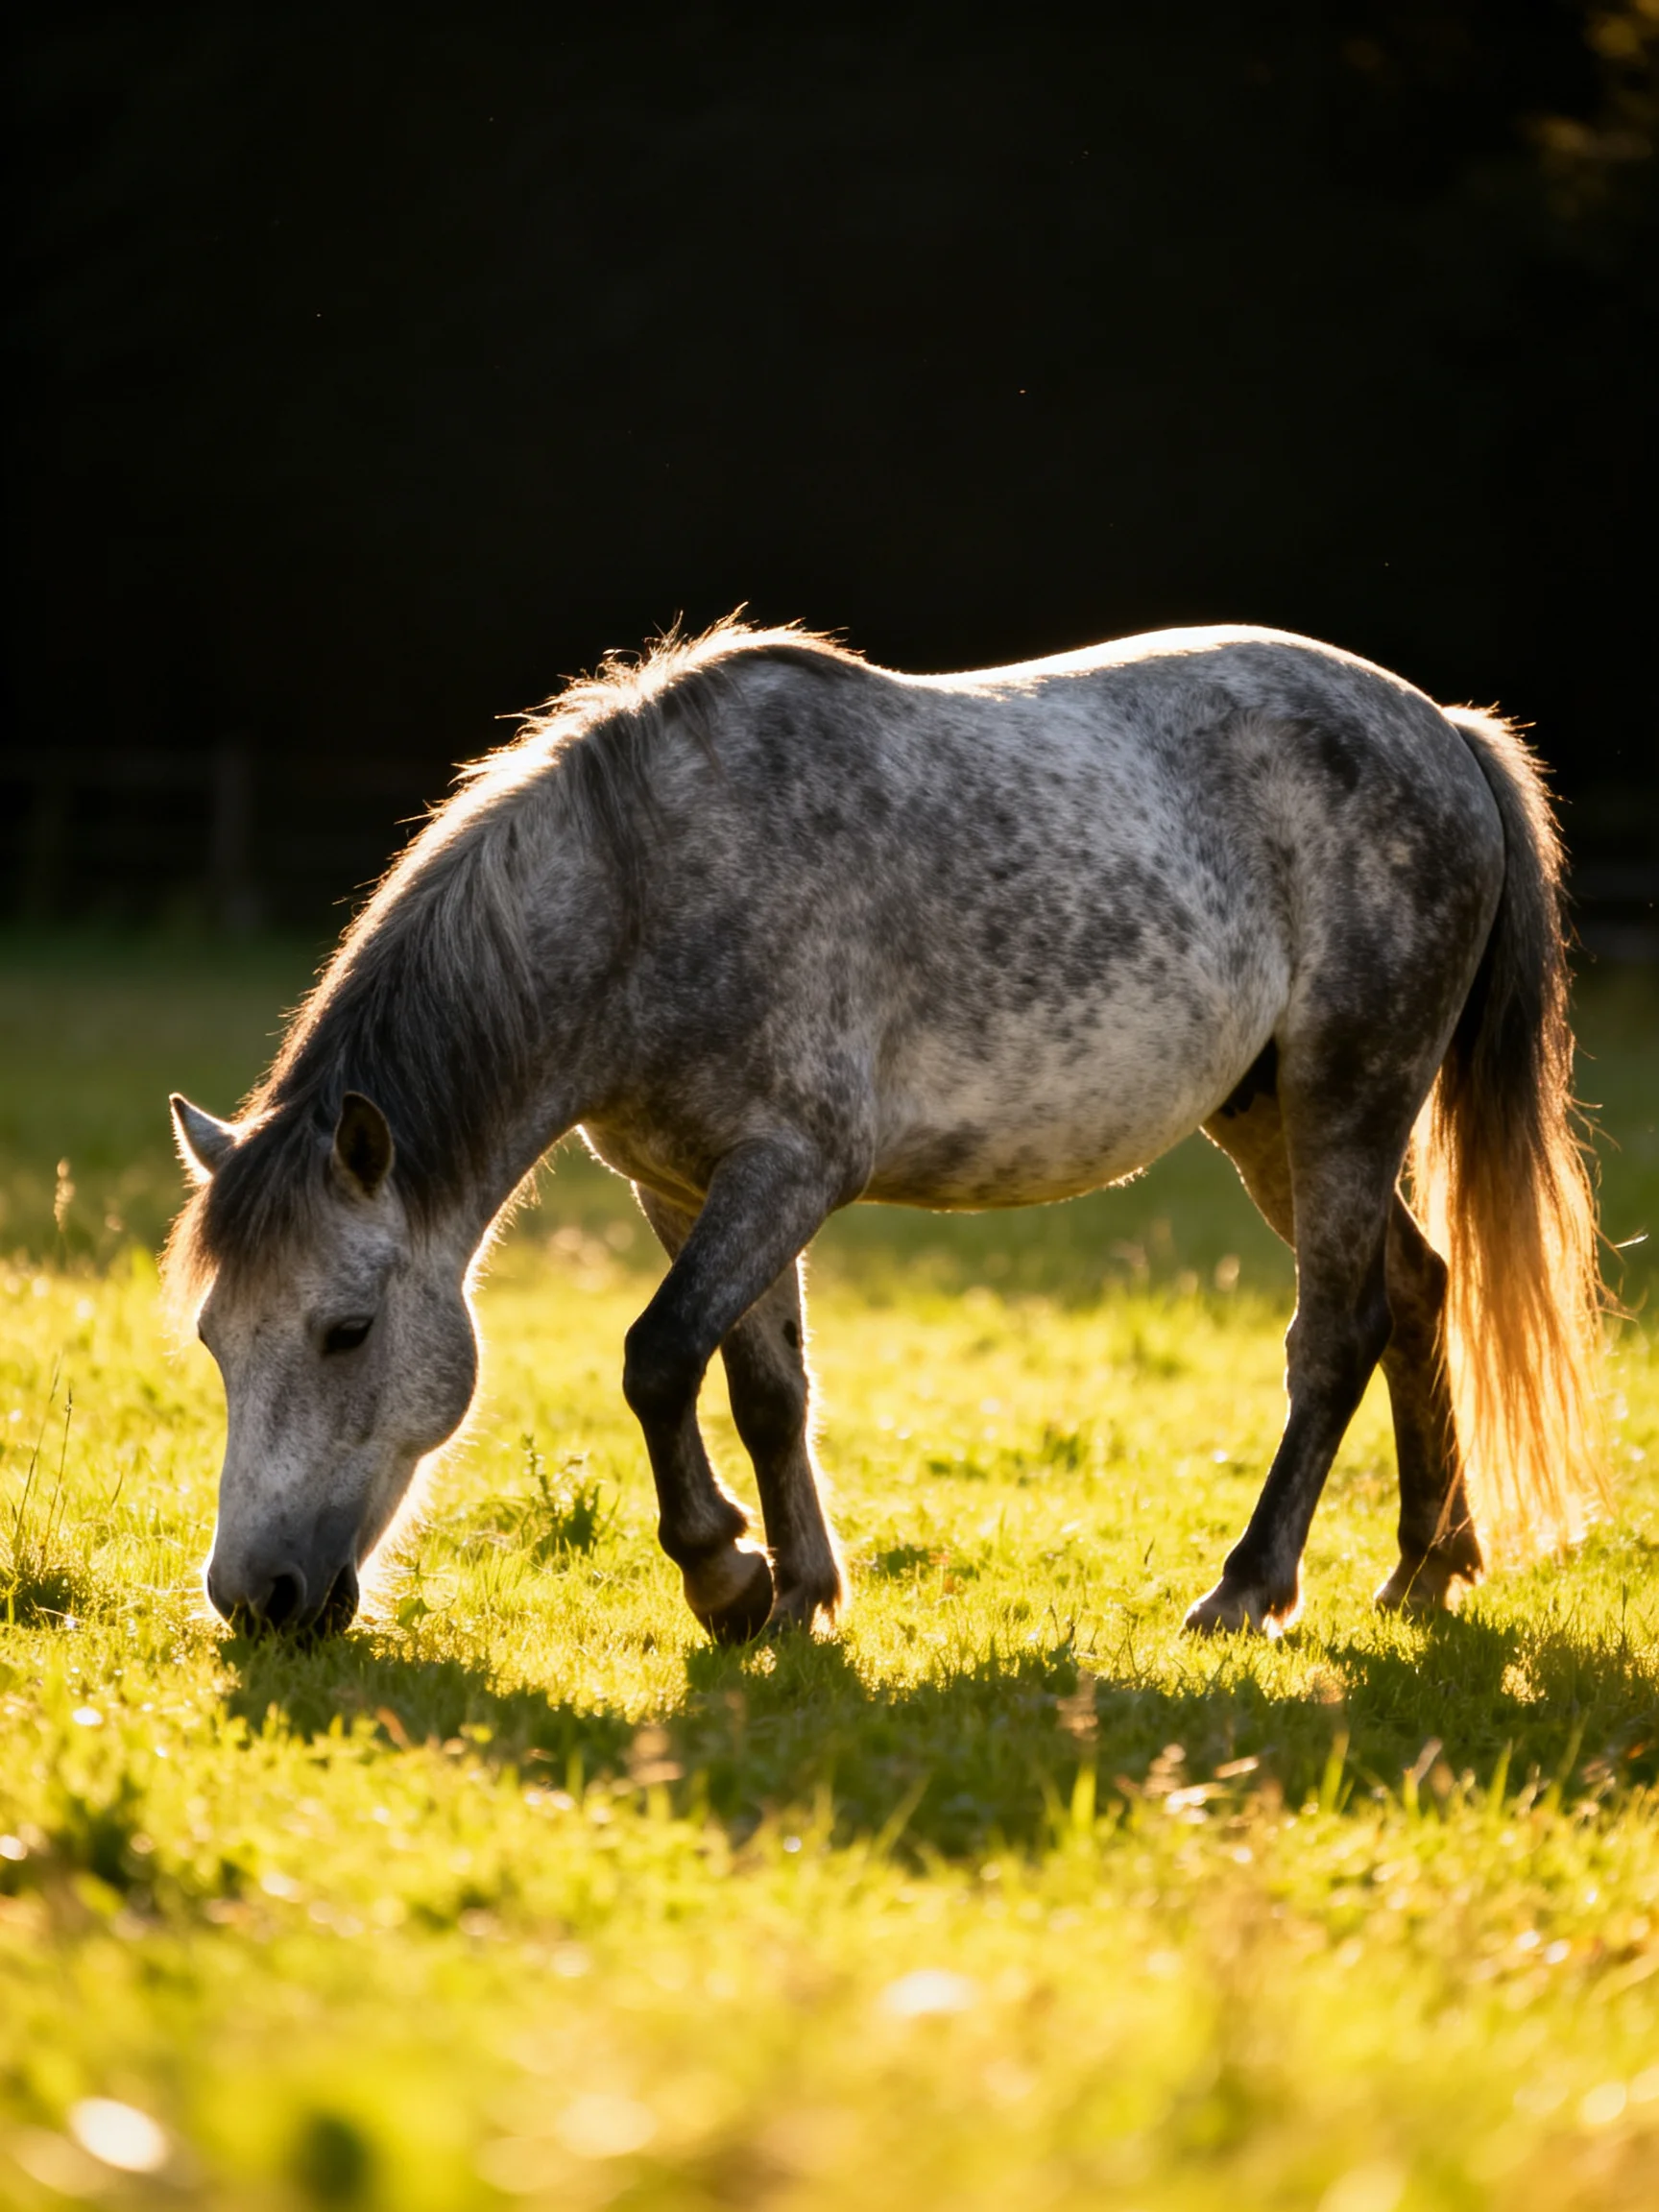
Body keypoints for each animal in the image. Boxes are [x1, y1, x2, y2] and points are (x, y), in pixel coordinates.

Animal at [165, 618, 1605, 1645]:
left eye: (346, 1331)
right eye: (217, 1340)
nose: (256, 1600)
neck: (649, 889)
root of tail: (1445, 732)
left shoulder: (787, 1171)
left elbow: (657, 1359)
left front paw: (725, 1576)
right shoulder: (685, 1189)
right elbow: (764, 1385)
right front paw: (798, 1592)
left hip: (1346, 1098)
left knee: (1338, 1333)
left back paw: (1251, 1588)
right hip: (1269, 1124)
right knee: (1417, 1289)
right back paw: (1428, 1565)